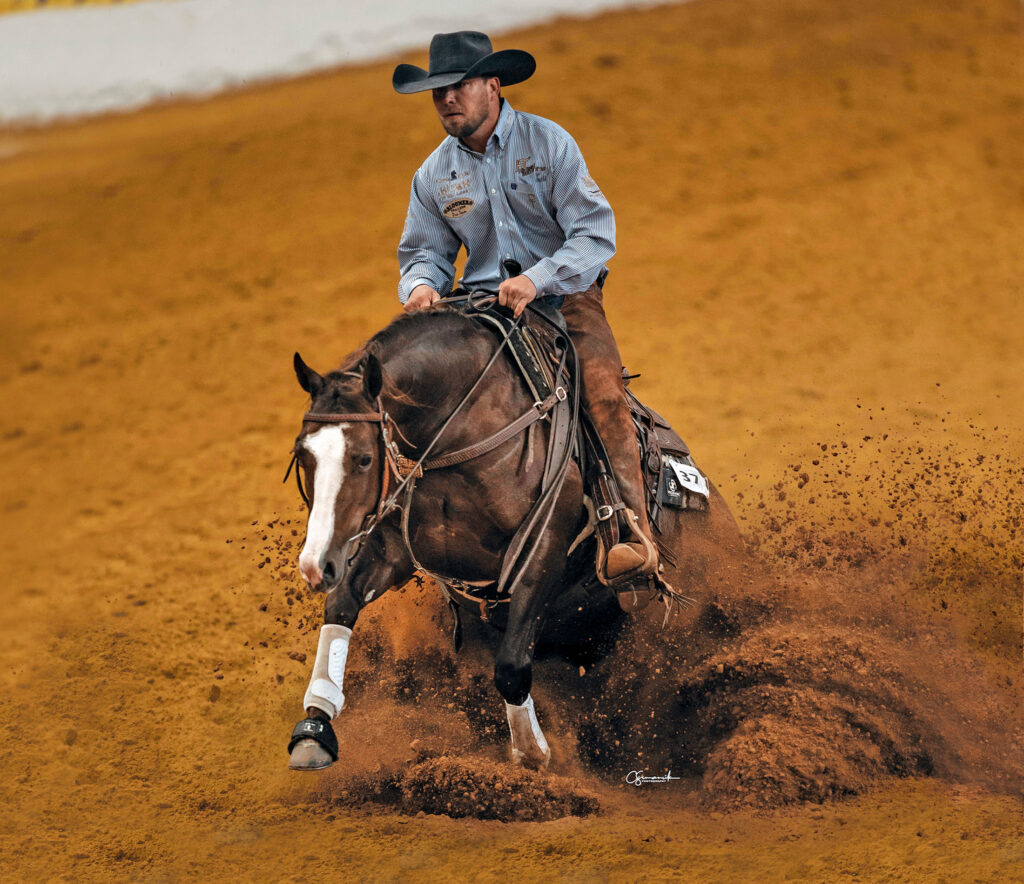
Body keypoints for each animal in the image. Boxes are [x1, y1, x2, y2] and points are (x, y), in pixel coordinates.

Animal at [284, 303, 742, 771]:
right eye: (302, 454)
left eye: (363, 458)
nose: (316, 565)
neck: (464, 433)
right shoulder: (393, 547)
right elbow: (341, 606)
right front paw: (315, 727)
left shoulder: (544, 545)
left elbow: (510, 667)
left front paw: (534, 754)